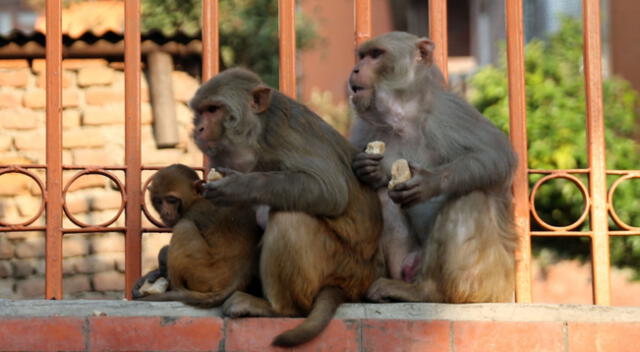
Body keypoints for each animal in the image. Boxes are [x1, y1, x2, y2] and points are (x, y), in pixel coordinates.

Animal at [131, 164, 262, 306]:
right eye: (159, 201)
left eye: (171, 200)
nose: (165, 213)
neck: (195, 200)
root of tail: (237, 281)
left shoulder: (195, 212)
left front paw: (161, 263)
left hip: (203, 277)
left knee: (184, 226)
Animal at [190, 68, 380, 346]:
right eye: (201, 111)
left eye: (214, 109)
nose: (199, 128)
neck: (255, 136)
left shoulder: (285, 136)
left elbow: (330, 189)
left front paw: (239, 185)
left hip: (342, 266)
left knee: (290, 217)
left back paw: (279, 308)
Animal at [350, 32, 520, 302]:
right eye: (362, 56)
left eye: (376, 55)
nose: (355, 69)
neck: (404, 116)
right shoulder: (365, 128)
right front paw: (369, 169)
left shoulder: (450, 112)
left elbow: (496, 155)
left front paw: (429, 182)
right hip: (412, 262)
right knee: (383, 197)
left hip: (488, 283)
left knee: (469, 197)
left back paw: (425, 292)